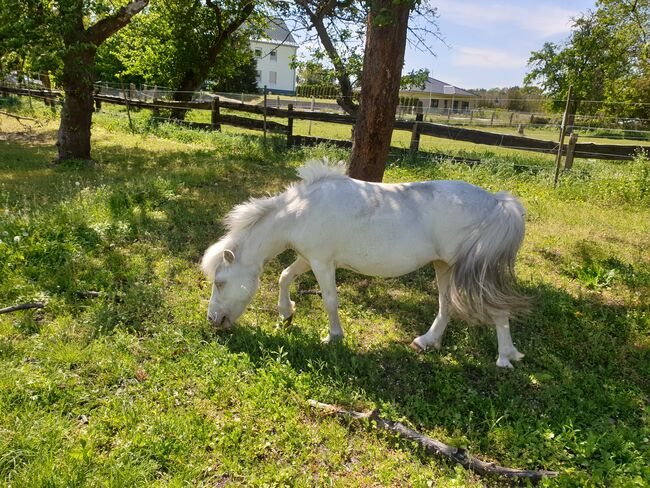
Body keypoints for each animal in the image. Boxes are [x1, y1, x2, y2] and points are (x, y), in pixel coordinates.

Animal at [200, 158, 528, 368]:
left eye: (220, 282)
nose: (213, 321)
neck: (300, 211)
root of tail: (497, 202)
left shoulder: (322, 262)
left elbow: (330, 300)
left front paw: (333, 337)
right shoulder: (307, 258)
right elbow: (284, 276)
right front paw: (286, 313)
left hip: (471, 273)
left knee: (496, 310)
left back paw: (505, 358)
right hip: (443, 267)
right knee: (445, 305)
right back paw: (426, 341)